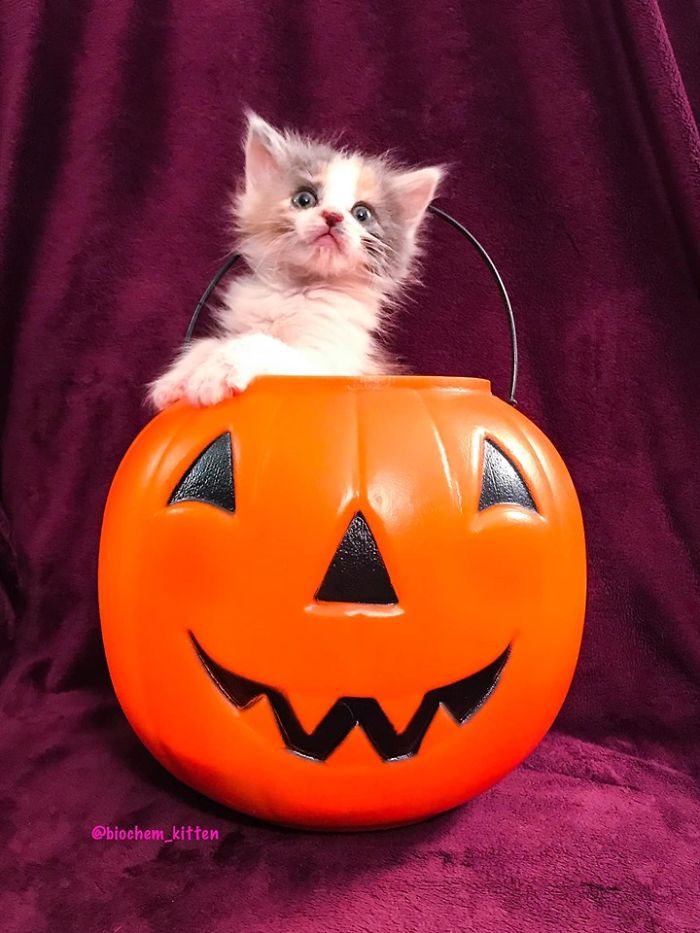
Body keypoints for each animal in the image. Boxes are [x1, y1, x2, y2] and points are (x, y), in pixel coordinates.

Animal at [148, 112, 442, 408]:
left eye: (362, 214)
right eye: (304, 199)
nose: (333, 215)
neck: (296, 290)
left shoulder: (325, 367)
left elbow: (262, 343)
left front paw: (215, 373)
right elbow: (209, 343)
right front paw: (176, 378)